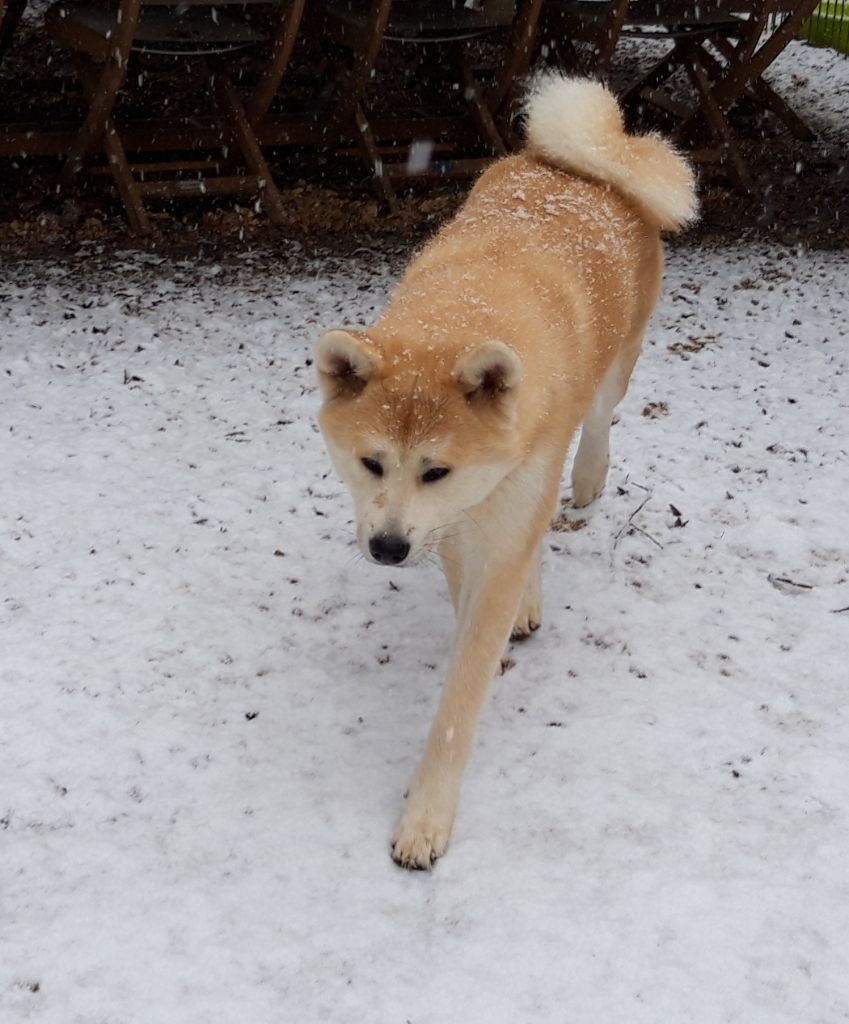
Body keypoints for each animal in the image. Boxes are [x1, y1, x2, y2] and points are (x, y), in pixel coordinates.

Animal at [313, 75, 696, 868]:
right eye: (370, 463)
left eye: (436, 469)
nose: (387, 549)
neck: (465, 313)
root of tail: (589, 161)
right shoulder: (459, 526)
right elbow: (473, 596)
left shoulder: (486, 508)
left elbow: (460, 699)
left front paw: (425, 816)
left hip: (613, 373)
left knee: (597, 424)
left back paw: (587, 479)